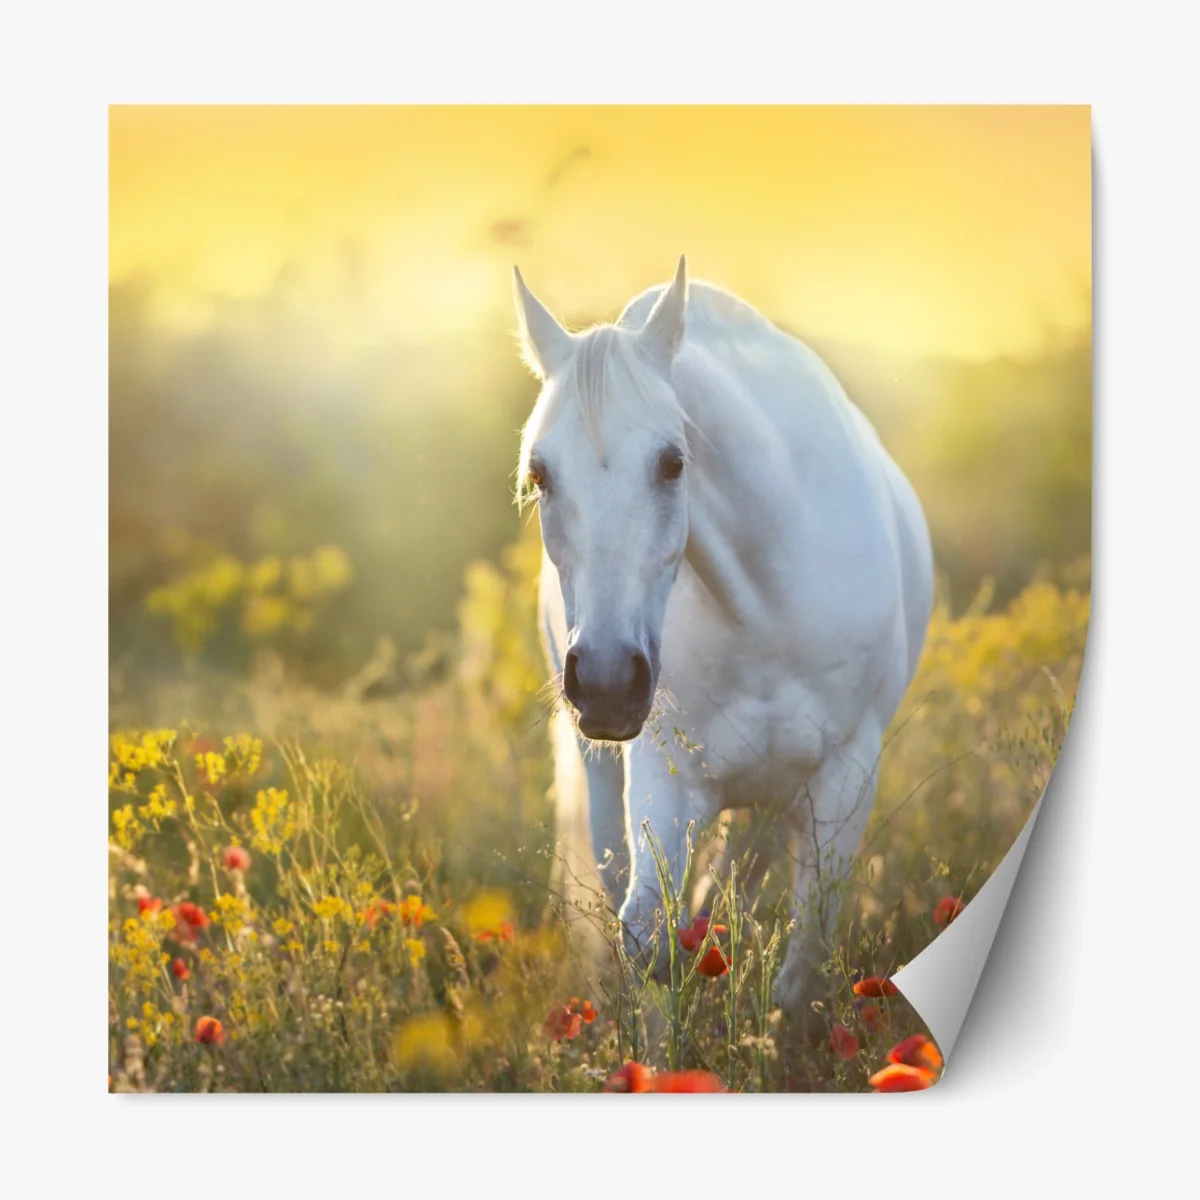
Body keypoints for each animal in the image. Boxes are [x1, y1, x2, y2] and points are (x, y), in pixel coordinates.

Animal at [512, 256, 934, 1012]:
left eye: (672, 462)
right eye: (540, 473)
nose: (608, 681)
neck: (764, 607)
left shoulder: (844, 779)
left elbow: (800, 967)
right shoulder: (664, 773)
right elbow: (648, 934)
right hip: (608, 776)